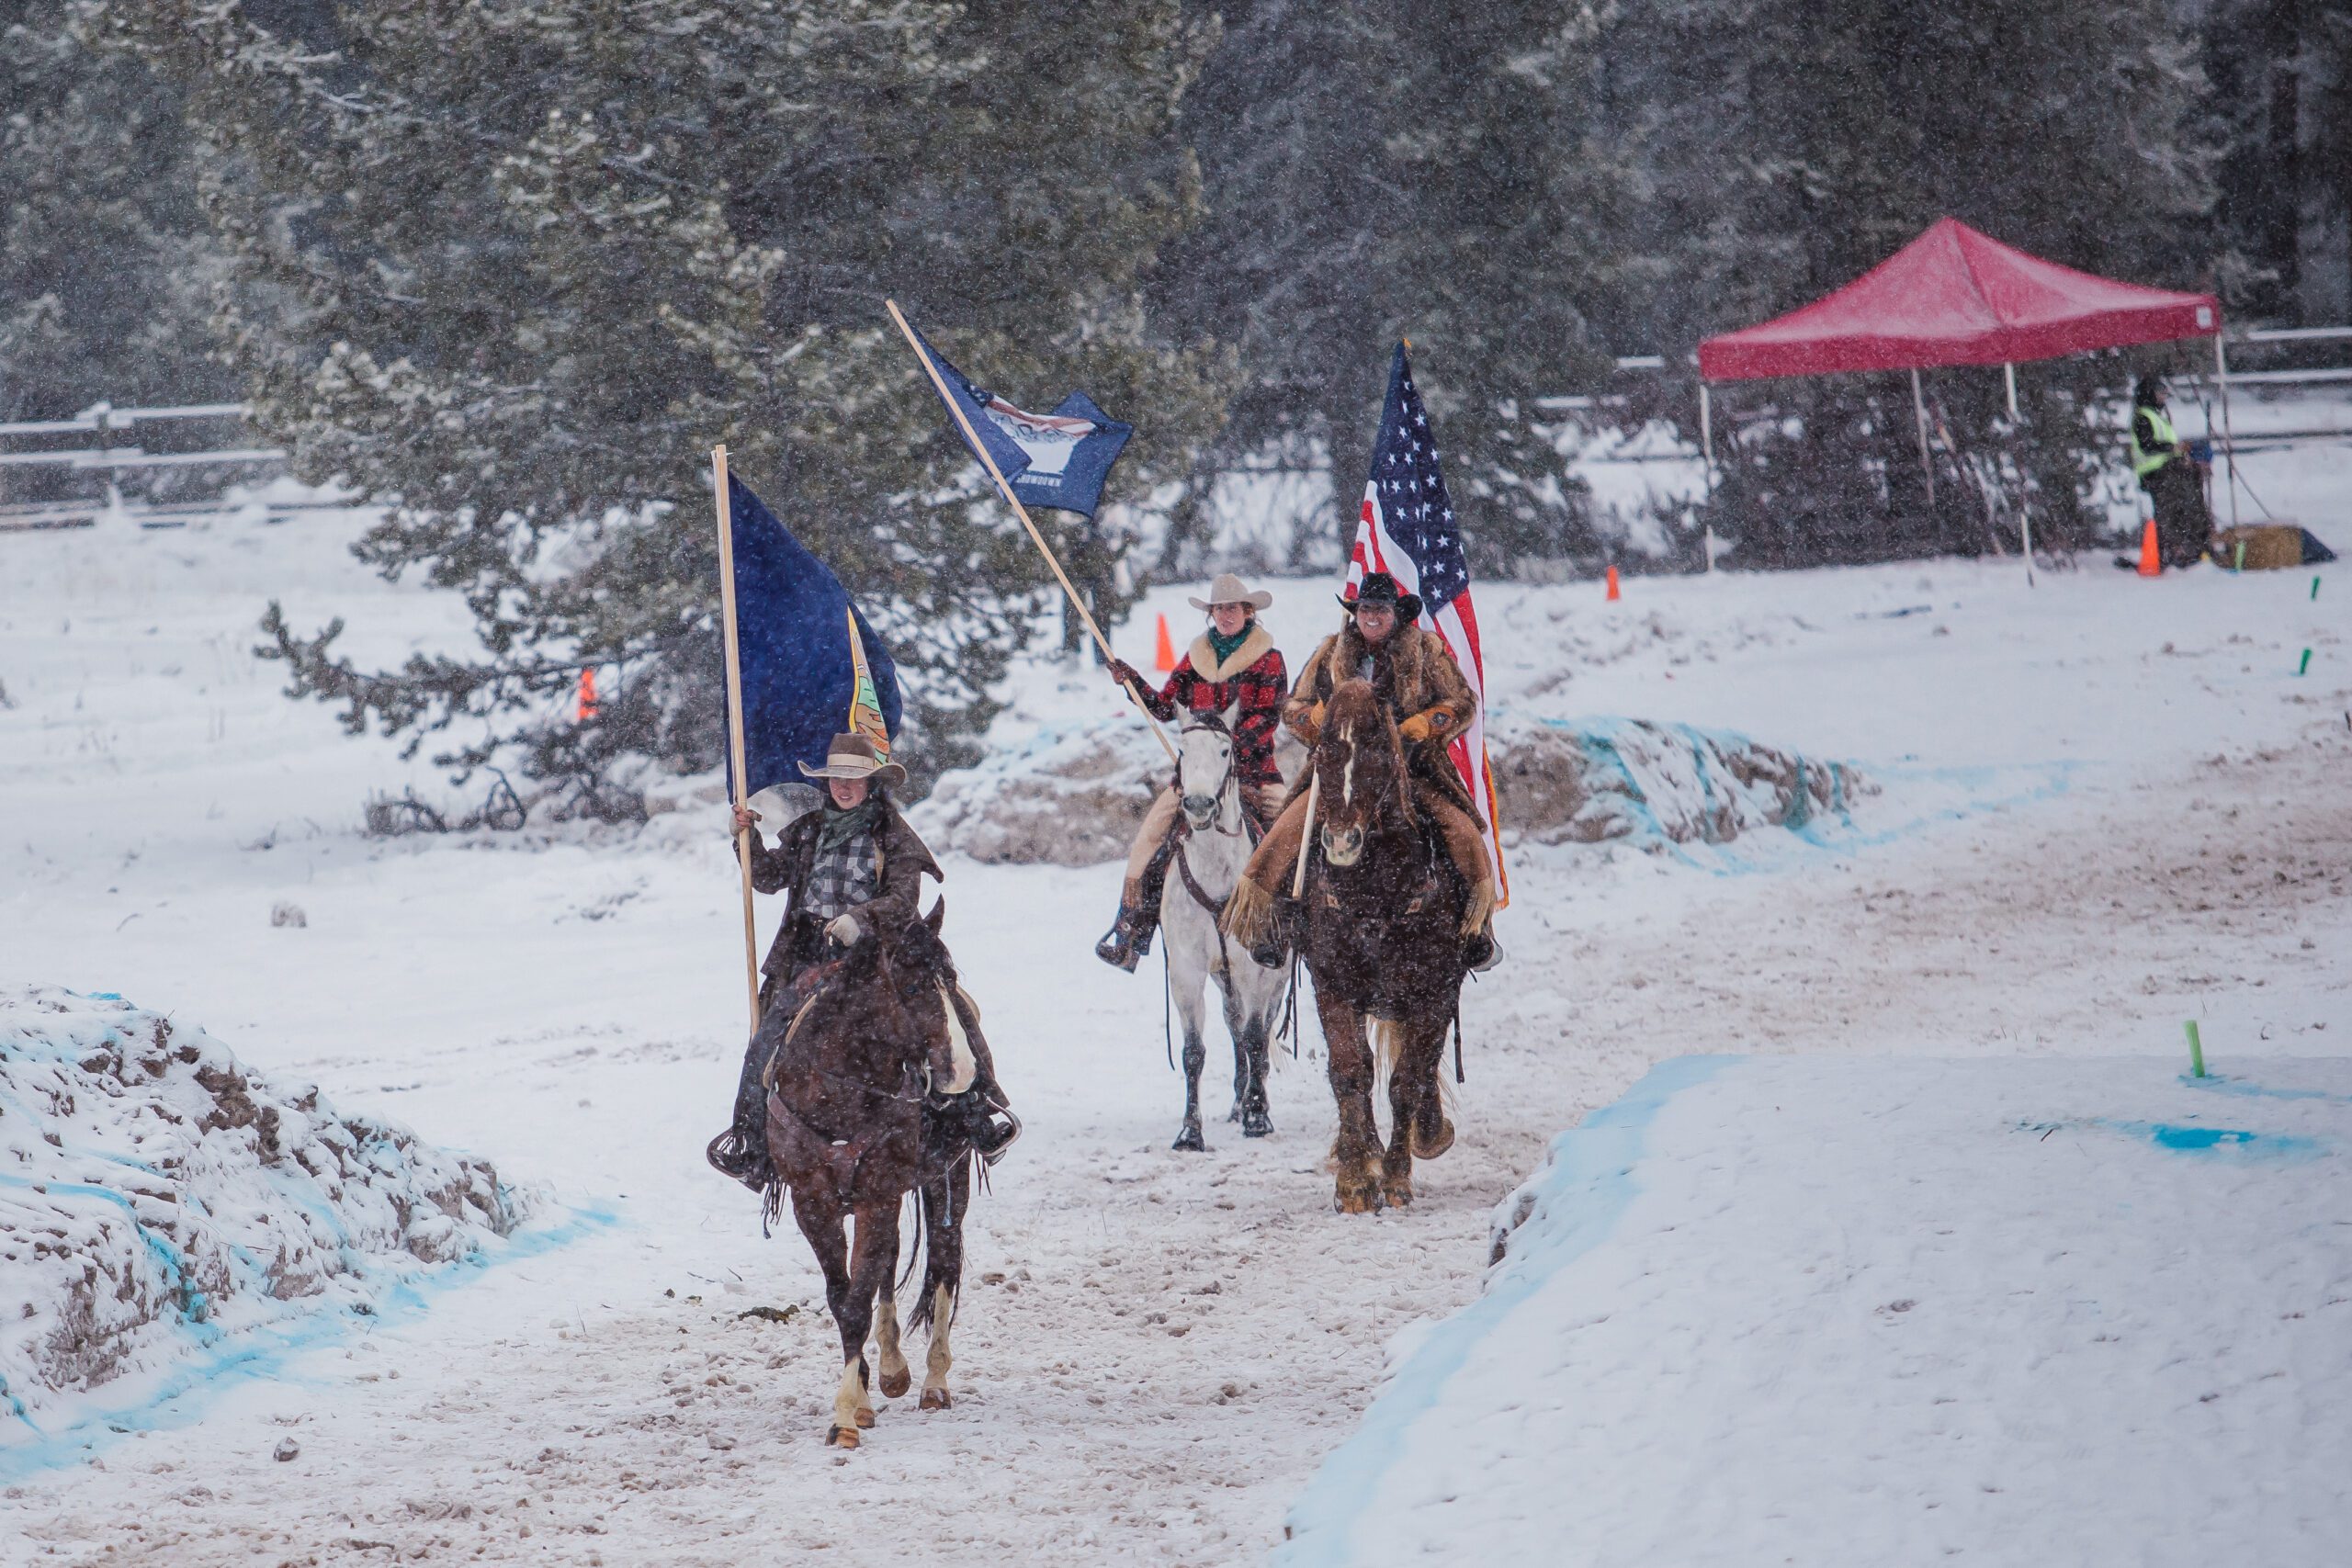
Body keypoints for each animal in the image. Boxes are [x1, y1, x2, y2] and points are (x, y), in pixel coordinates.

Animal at [766, 893, 978, 1448]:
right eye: (913, 986)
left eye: (950, 978)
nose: (963, 1074)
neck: (837, 1090)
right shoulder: (814, 1204)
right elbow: (843, 1297)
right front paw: (860, 1397)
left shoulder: (877, 1196)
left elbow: (859, 1297)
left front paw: (844, 1414)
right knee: (893, 1262)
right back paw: (892, 1368)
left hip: (948, 1178)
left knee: (944, 1260)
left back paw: (933, 1382)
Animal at [1157, 709, 1288, 1152]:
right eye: (1182, 749)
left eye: (1225, 750)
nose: (1198, 804)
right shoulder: (1186, 972)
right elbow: (1194, 1052)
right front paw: (1189, 1132)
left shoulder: (1255, 970)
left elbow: (1256, 1039)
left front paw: (1258, 1118)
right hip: (1223, 978)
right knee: (1234, 1027)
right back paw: (1237, 1103)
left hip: (1276, 978)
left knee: (1259, 1032)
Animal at [1279, 677, 1458, 1213]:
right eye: (1322, 749)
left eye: (1379, 746)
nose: (1341, 842)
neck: (1377, 895)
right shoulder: (1334, 985)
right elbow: (1349, 1073)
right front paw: (1356, 1181)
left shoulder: (1434, 991)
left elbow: (1407, 1080)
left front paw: (1396, 1178)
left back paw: (1427, 1133)